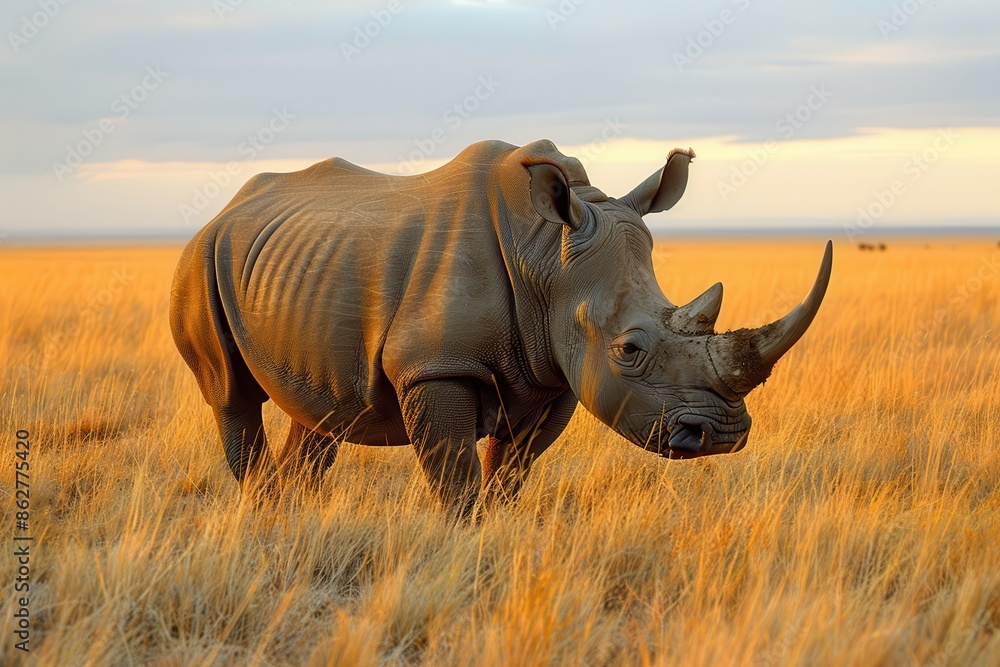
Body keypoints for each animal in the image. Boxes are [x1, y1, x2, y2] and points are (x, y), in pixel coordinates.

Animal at [170, 139, 832, 516]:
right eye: (629, 349)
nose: (721, 435)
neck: (544, 254)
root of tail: (225, 209)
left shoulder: (552, 374)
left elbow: (510, 473)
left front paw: (498, 530)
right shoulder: (434, 367)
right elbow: (457, 482)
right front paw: (466, 542)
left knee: (319, 413)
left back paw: (288, 514)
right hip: (199, 257)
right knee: (230, 395)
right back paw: (261, 512)